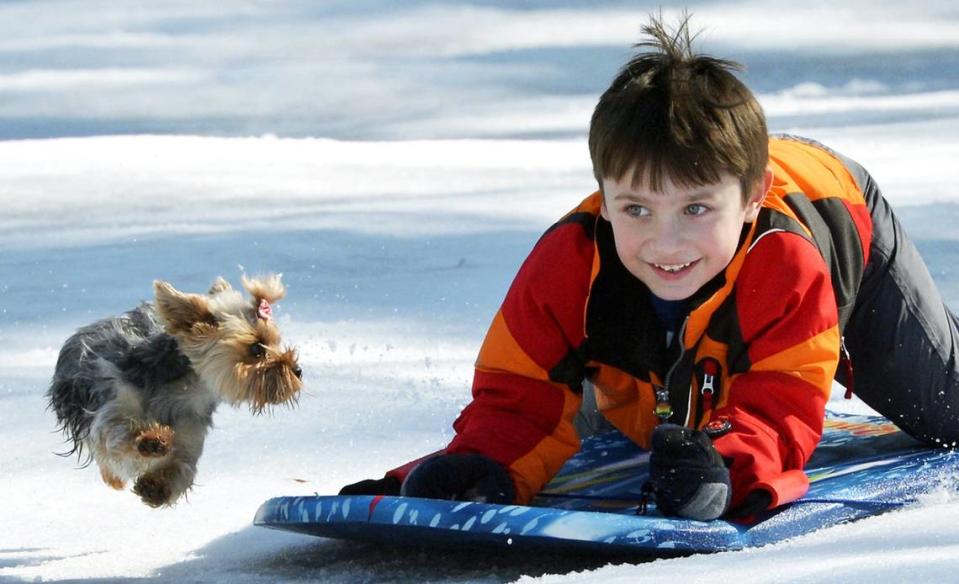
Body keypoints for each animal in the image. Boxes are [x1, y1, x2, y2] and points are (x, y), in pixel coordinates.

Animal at [47, 274, 304, 506]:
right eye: (256, 348)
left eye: (275, 342)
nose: (298, 371)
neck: (186, 386)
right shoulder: (115, 394)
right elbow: (116, 427)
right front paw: (151, 439)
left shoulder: (190, 428)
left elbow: (183, 466)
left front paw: (157, 488)